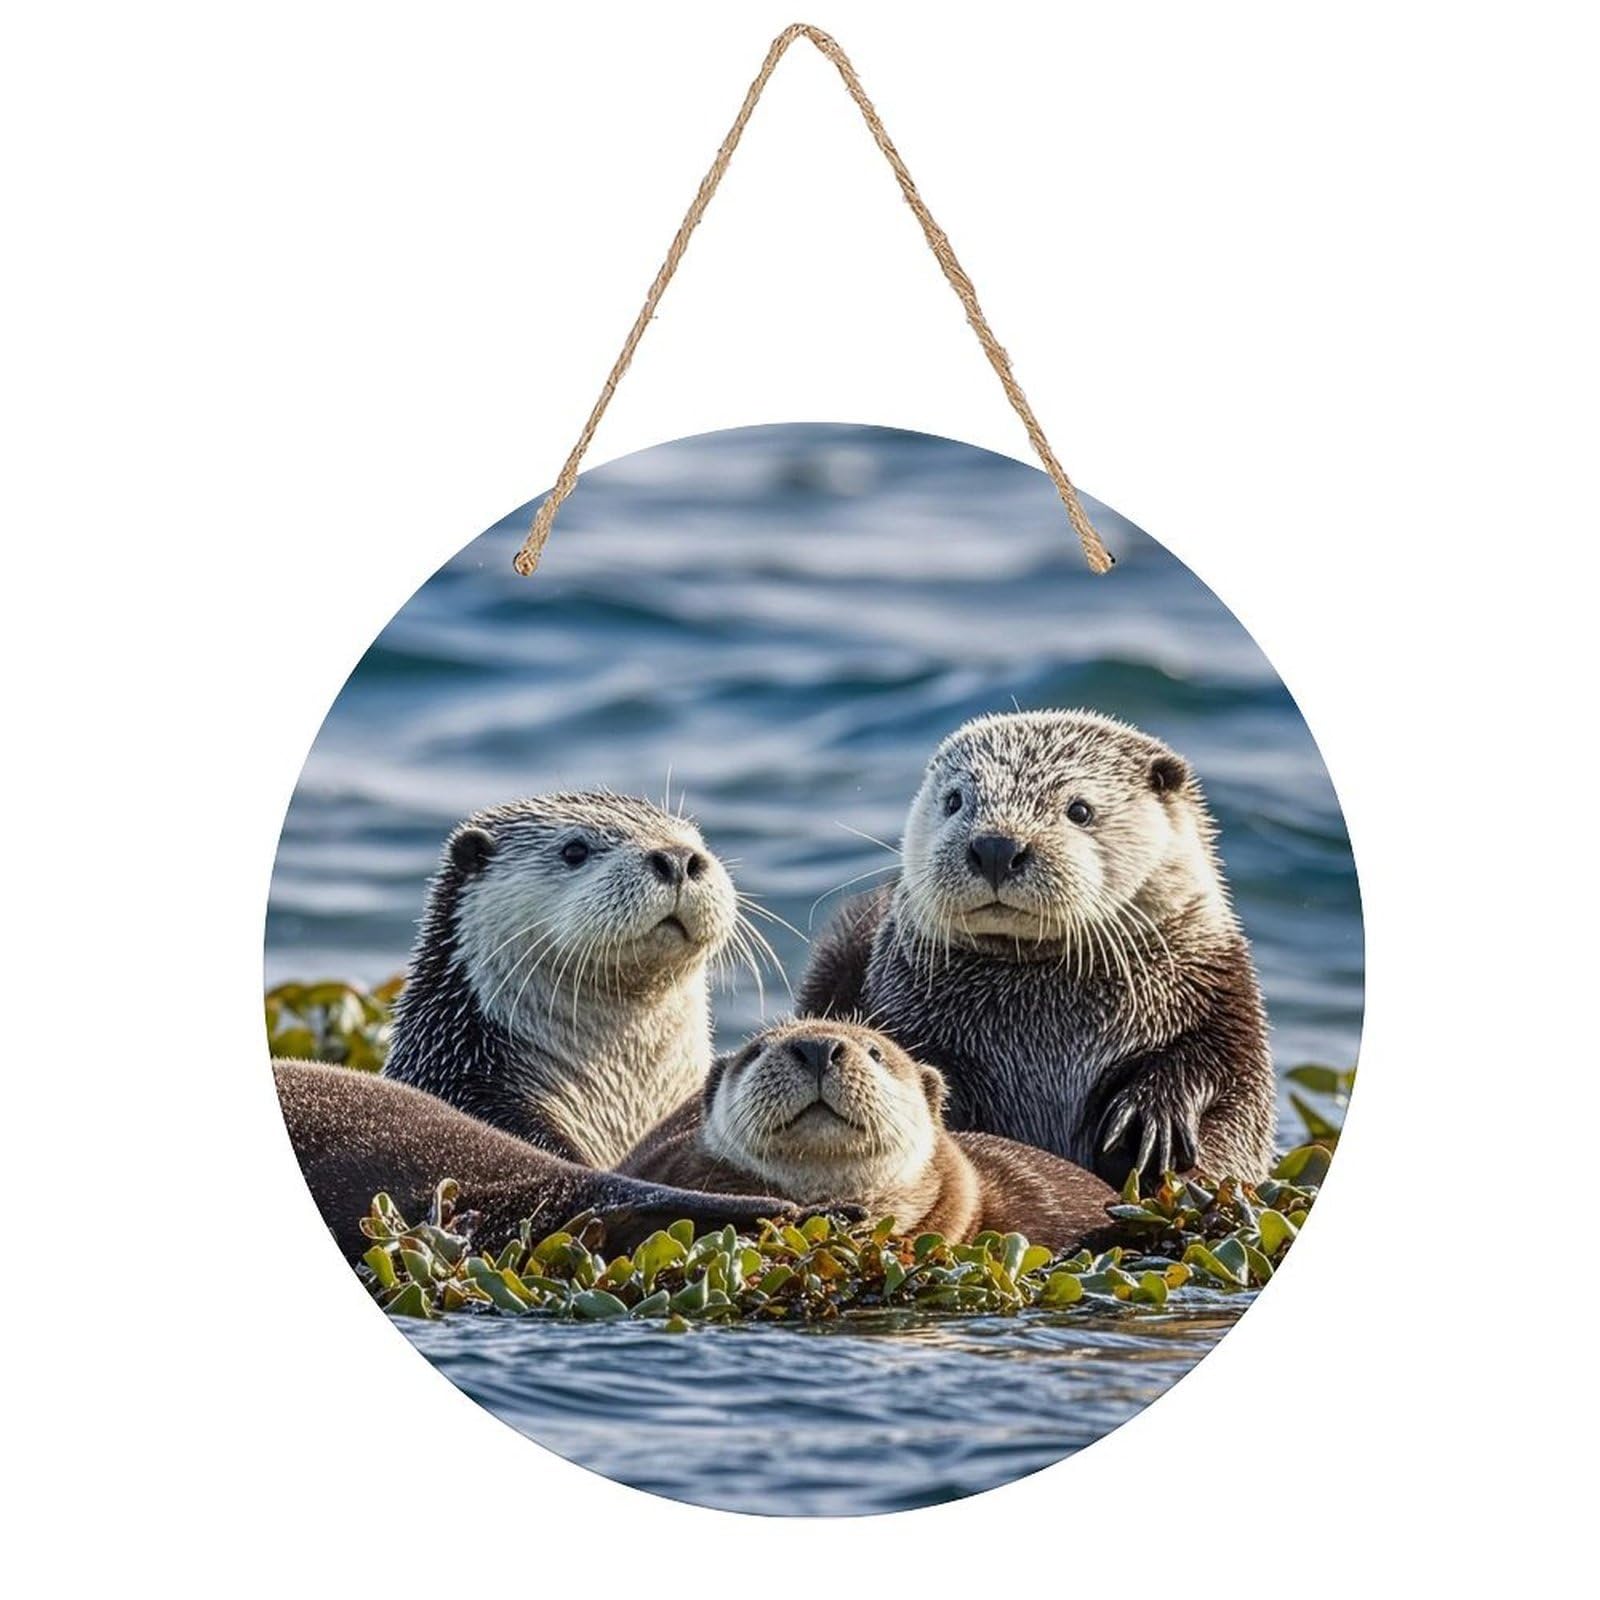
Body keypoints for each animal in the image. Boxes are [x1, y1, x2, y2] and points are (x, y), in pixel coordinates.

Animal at [797, 711, 1276, 1187]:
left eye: (1079, 810)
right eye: (954, 800)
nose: (996, 845)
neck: (1044, 1030)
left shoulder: (1222, 1002)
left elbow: (1220, 1070)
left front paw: (1155, 1117)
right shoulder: (904, 1012)